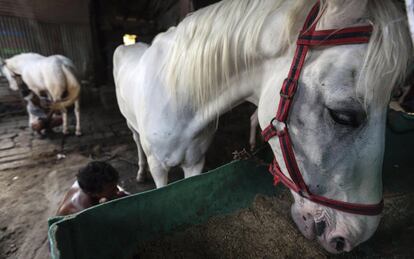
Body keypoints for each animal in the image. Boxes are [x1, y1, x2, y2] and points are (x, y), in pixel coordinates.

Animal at [113, 0, 410, 254]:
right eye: (343, 116)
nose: (354, 236)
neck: (178, 97)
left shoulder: (195, 163)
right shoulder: (159, 167)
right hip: (131, 128)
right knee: (136, 141)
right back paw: (138, 173)